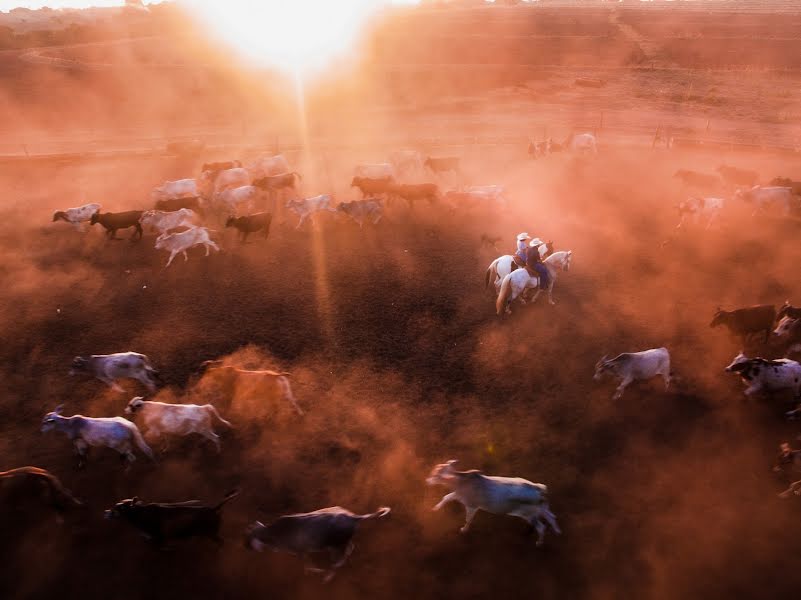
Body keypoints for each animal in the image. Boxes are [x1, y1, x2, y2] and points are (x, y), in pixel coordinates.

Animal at [102, 490, 238, 548]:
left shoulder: (159, 538)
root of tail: (214, 509)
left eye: (119, 508)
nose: (106, 513)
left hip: (211, 533)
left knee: (220, 542)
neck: (141, 514)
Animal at [245, 506, 392, 580]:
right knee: (350, 548)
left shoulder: (300, 550)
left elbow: (307, 564)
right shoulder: (302, 551)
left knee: (341, 557)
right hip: (339, 543)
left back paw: (328, 574)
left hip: (336, 545)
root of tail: (354, 517)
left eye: (249, 538)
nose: (245, 547)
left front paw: (316, 571)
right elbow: (306, 564)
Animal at [424, 460, 564, 548]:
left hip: (529, 514)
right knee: (551, 516)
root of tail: (539, 489)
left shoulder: (471, 505)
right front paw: (435, 508)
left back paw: (539, 542)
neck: (460, 482)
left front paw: (464, 529)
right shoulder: (458, 495)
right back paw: (557, 531)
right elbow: (446, 497)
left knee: (541, 527)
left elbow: (468, 518)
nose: (427, 481)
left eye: (436, 474)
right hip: (541, 508)